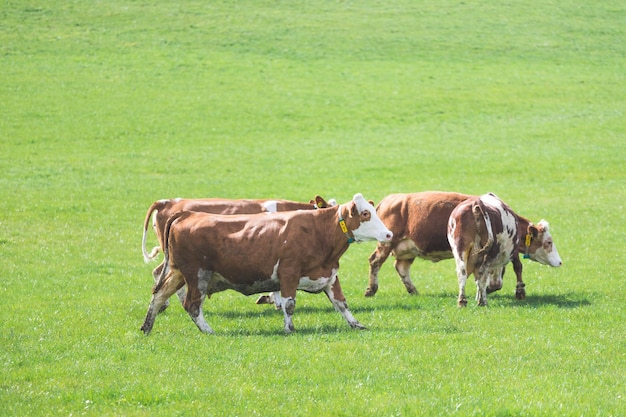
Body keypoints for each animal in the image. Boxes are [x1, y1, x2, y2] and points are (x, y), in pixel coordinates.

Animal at [364, 190, 560, 300]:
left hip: (408, 249)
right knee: (375, 261)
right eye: (549, 242)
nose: (559, 262)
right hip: (386, 243)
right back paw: (371, 289)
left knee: (401, 267)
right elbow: (512, 268)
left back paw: (413, 291)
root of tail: (388, 200)